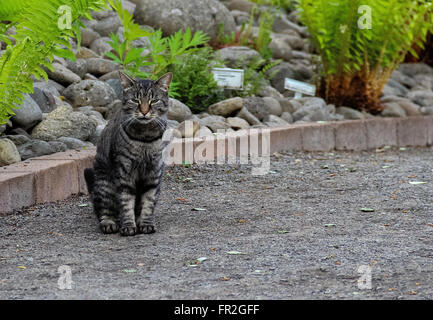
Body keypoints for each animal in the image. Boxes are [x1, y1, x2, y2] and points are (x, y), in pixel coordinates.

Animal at [83, 73, 171, 238]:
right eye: (135, 100)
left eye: (154, 100)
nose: (144, 111)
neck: (145, 138)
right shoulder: (124, 172)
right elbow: (125, 201)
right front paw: (129, 226)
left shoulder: (154, 172)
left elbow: (149, 201)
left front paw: (146, 223)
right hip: (105, 184)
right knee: (103, 210)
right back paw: (109, 223)